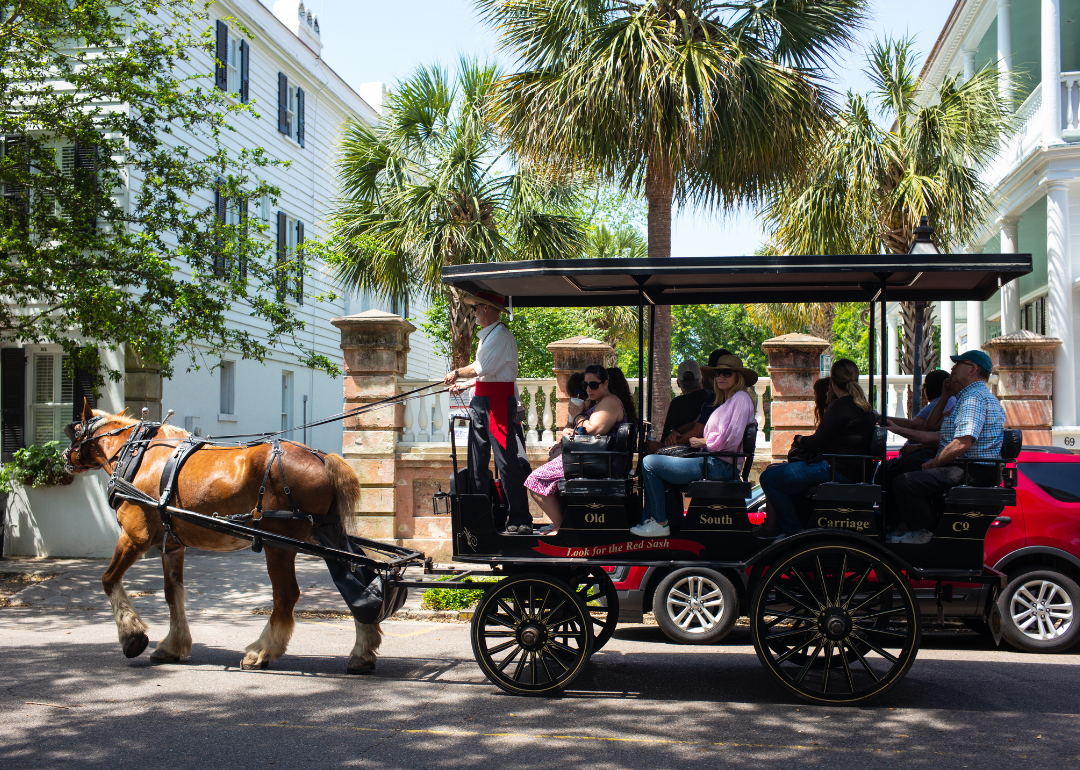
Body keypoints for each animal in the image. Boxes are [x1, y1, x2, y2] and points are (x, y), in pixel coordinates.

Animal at [63, 401, 384, 673]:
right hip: (326, 534)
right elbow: (172, 593)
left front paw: (132, 636)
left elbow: (109, 580)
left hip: (278, 544)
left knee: (287, 596)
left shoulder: (135, 536)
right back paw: (362, 652)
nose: (64, 457)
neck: (137, 455)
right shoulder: (171, 545)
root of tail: (322, 457)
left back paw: (261, 651)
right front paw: (173, 645)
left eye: (75, 430)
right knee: (357, 584)